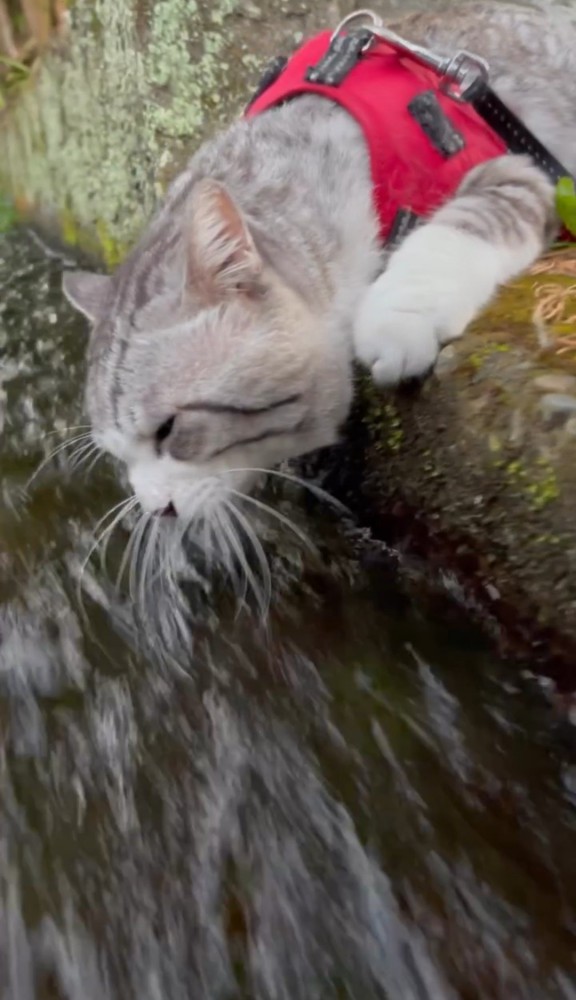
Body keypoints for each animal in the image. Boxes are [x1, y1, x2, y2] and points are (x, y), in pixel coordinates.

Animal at [60, 1, 572, 532]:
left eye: (168, 430)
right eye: (117, 454)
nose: (156, 510)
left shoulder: (519, 173)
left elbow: (457, 230)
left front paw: (397, 319)